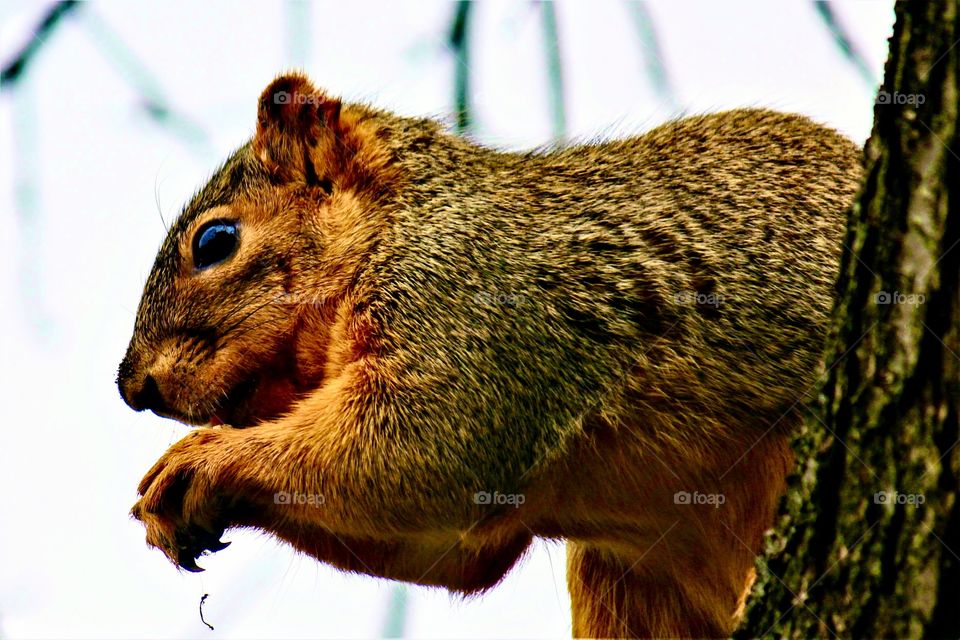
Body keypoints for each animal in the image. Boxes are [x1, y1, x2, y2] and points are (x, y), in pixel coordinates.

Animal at [117, 73, 861, 638]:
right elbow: (455, 551)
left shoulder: (474, 307)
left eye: (215, 241)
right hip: (625, 583)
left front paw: (204, 459)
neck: (397, 227)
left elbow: (427, 447)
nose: (133, 387)